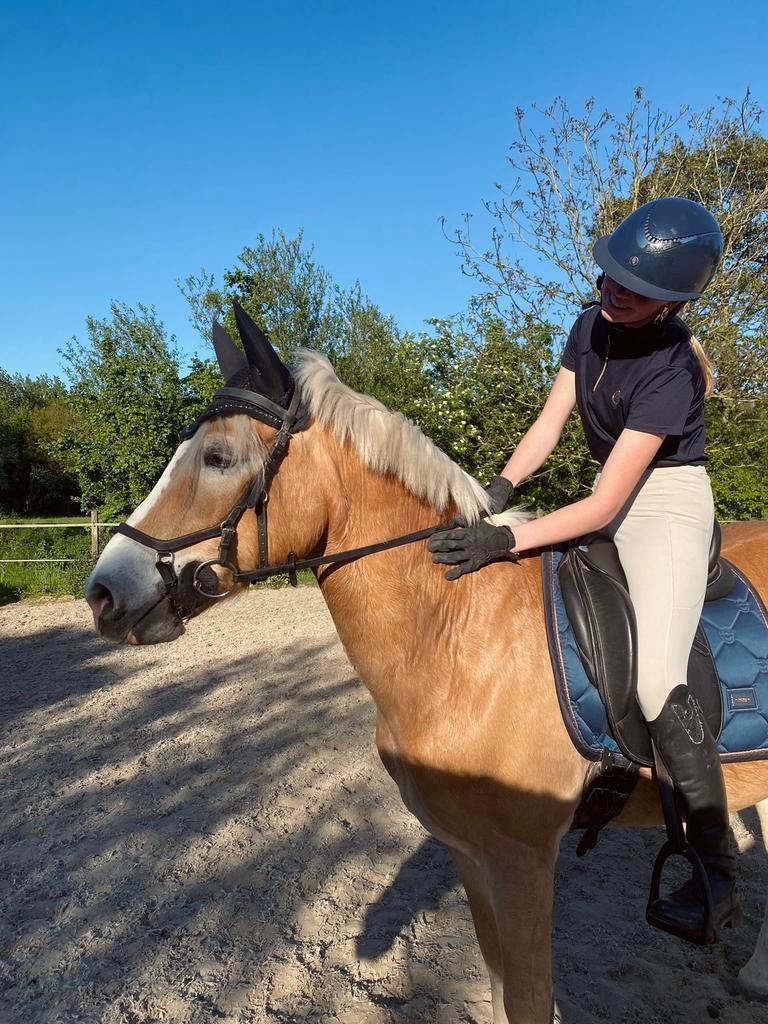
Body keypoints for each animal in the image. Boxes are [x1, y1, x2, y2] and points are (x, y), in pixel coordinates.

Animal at [84, 316, 768, 1024]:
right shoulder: (470, 853)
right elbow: (499, 990)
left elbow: (528, 998)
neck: (459, 633)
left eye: (218, 457)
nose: (103, 593)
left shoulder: (523, 859)